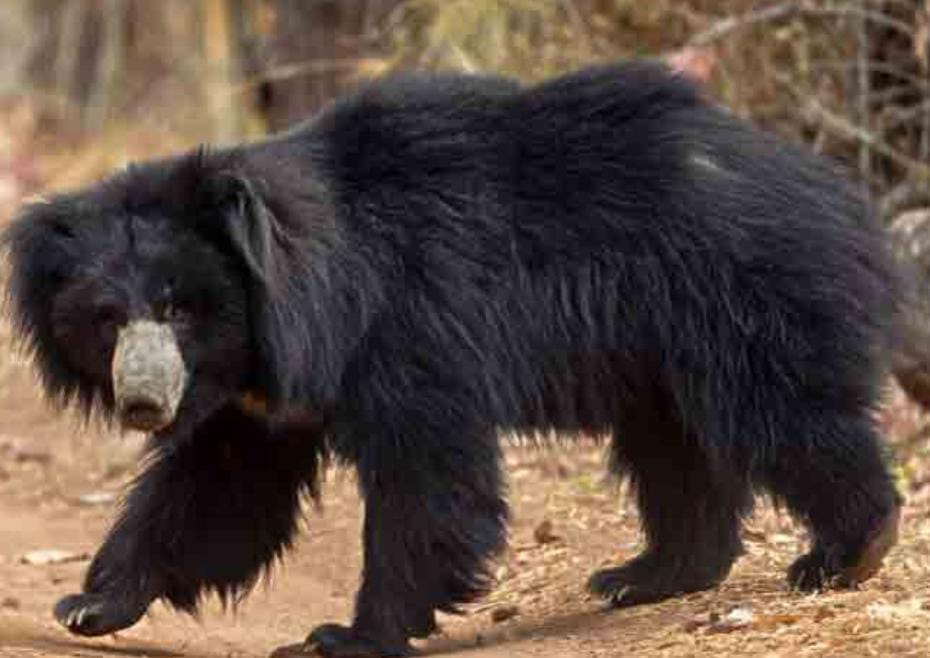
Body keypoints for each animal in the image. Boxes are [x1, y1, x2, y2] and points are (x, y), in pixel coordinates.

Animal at [2, 61, 903, 657]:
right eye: (106, 319)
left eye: (180, 309)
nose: (143, 403)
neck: (293, 300)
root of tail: (831, 186)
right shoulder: (260, 395)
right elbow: (218, 485)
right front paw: (89, 603)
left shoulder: (407, 324)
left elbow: (425, 473)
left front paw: (347, 635)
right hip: (655, 348)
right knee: (674, 450)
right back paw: (645, 574)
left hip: (734, 288)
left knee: (783, 412)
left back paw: (845, 551)